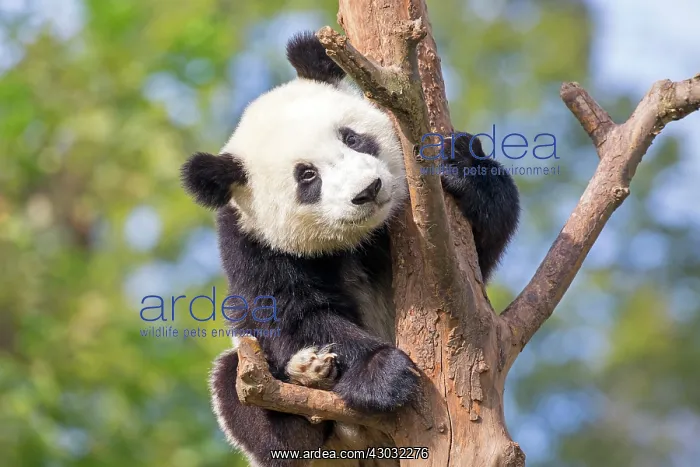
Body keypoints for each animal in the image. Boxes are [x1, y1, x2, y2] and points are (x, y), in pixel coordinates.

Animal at [180, 31, 520, 467]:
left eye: (352, 137)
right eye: (307, 176)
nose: (367, 191)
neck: (354, 240)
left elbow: (481, 251)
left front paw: (460, 167)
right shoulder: (253, 244)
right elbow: (294, 312)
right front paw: (382, 373)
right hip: (256, 383)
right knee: (235, 383)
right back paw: (306, 382)